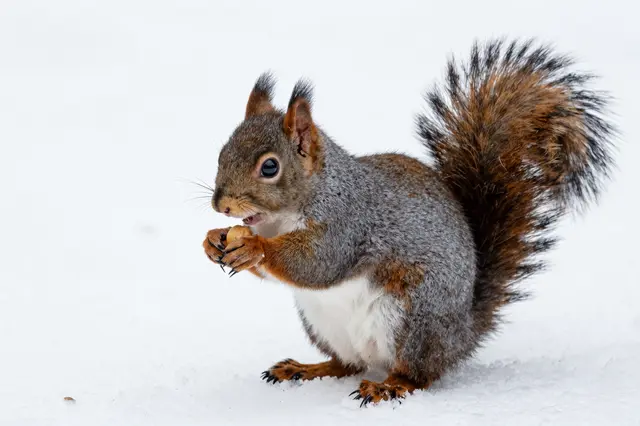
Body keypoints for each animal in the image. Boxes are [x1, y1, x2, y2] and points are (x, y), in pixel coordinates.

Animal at [202, 39, 616, 406]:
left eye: (269, 167)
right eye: (222, 153)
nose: (221, 205)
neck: (285, 217)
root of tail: (462, 334)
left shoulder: (348, 224)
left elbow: (317, 264)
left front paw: (253, 245)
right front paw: (213, 240)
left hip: (413, 317)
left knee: (418, 374)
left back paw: (388, 387)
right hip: (322, 323)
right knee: (347, 364)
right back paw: (307, 369)